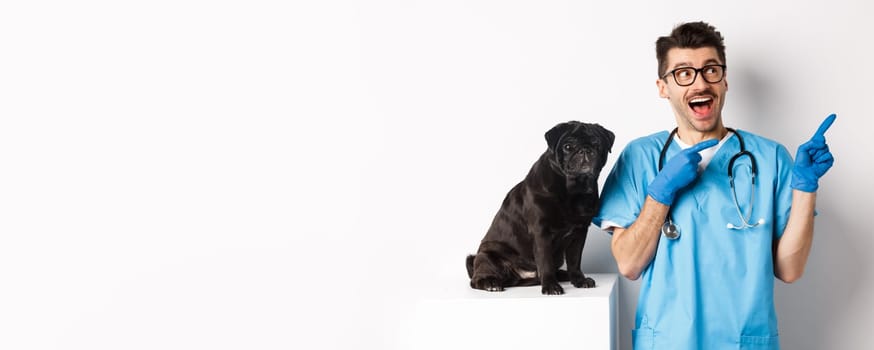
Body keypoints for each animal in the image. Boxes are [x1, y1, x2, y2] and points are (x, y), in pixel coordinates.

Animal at [464, 121, 612, 294]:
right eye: (568, 146)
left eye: (597, 145)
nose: (585, 150)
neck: (572, 189)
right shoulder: (541, 233)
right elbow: (545, 261)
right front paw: (550, 286)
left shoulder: (579, 233)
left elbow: (575, 260)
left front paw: (579, 280)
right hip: (487, 256)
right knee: (477, 279)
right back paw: (490, 283)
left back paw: (563, 275)